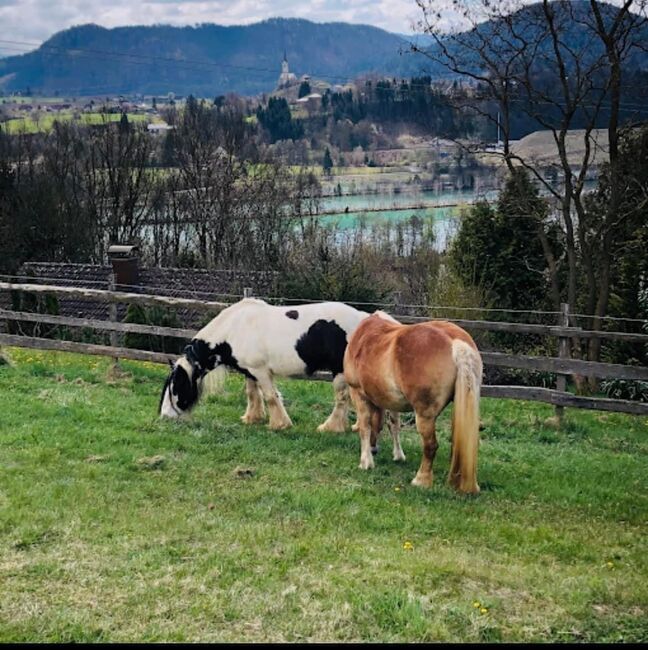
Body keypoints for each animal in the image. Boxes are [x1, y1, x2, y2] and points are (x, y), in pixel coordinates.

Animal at [161, 298, 394, 436]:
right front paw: (252, 418)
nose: (165, 417)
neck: (234, 328)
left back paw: (330, 427)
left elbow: (271, 396)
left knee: (342, 399)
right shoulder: (250, 371)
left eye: (175, 387)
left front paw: (279, 424)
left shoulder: (261, 371)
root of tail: (367, 319)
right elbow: (253, 394)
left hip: (340, 372)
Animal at [344, 312, 480, 494]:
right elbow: (393, 425)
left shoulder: (358, 392)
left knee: (430, 446)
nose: (374, 449)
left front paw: (366, 462)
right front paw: (398, 455)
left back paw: (421, 480)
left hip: (424, 416)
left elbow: (365, 426)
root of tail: (455, 343)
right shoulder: (391, 400)